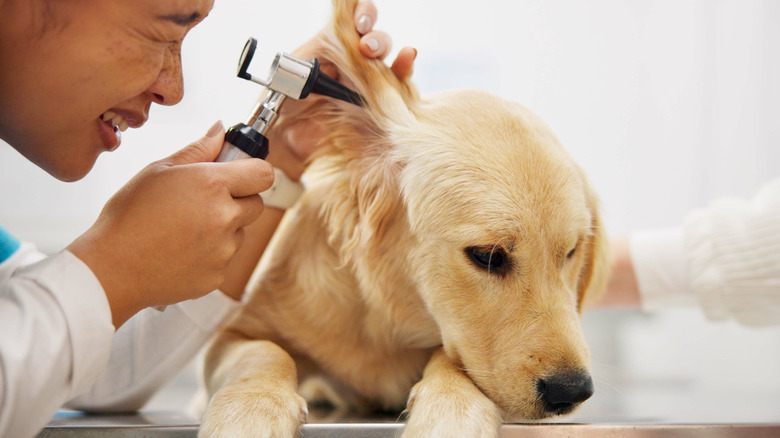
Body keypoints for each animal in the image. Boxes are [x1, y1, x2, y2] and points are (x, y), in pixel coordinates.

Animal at [200, 0, 608, 434]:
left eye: (571, 253)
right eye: (488, 256)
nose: (572, 391)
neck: (389, 325)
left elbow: (449, 360)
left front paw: (451, 409)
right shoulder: (227, 335)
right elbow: (264, 353)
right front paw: (250, 409)